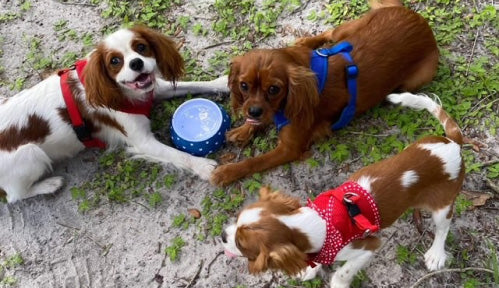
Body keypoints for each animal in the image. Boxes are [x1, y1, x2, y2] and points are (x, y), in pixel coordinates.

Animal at [0, 26, 229, 202]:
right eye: (115, 61)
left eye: (141, 47)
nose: (136, 63)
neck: (119, 91)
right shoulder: (143, 142)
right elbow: (179, 155)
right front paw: (203, 166)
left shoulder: (153, 91)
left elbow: (192, 84)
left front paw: (223, 83)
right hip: (31, 154)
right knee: (14, 196)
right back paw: (49, 184)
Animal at [211, 0, 438, 187]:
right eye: (244, 85)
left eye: (274, 89)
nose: (254, 112)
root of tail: (417, 18)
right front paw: (243, 130)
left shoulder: (289, 149)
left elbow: (255, 161)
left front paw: (227, 172)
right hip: (348, 30)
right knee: (329, 33)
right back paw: (304, 42)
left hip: (413, 81)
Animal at [223, 93, 464, 288]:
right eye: (237, 219)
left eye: (241, 244)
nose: (223, 236)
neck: (318, 223)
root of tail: (453, 142)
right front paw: (309, 269)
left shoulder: (368, 246)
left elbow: (342, 272)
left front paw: (337, 282)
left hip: (443, 204)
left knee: (443, 228)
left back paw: (436, 254)